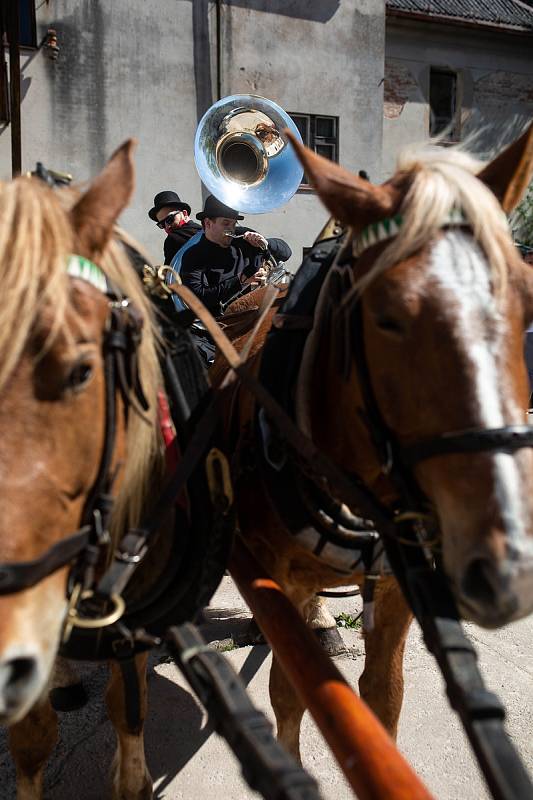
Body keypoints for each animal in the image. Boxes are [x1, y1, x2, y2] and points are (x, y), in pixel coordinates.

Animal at [213, 122, 533, 760]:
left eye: (528, 301)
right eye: (386, 315)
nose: (505, 566)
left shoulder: (396, 590)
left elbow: (383, 696)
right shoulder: (283, 580)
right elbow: (292, 691)